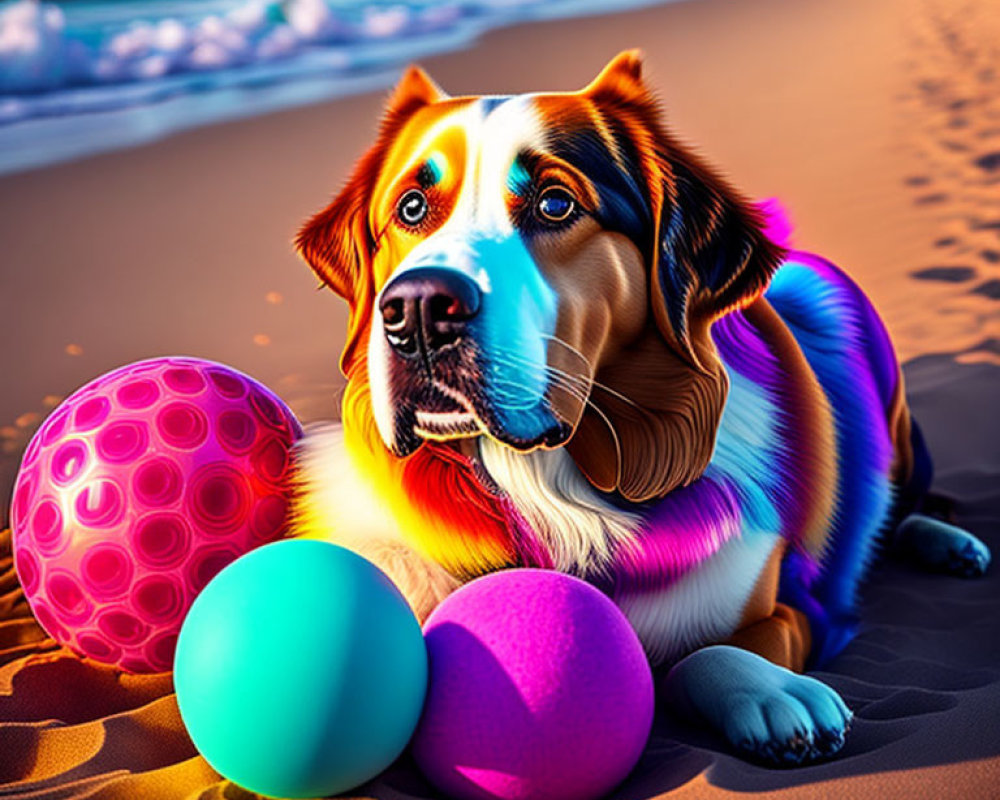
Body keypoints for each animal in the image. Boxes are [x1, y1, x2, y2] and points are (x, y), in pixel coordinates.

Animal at [292, 53, 992, 764]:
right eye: (411, 207)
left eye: (554, 203)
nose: (418, 310)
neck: (553, 487)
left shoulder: (797, 607)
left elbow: (702, 651)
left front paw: (772, 692)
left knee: (911, 503)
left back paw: (948, 542)